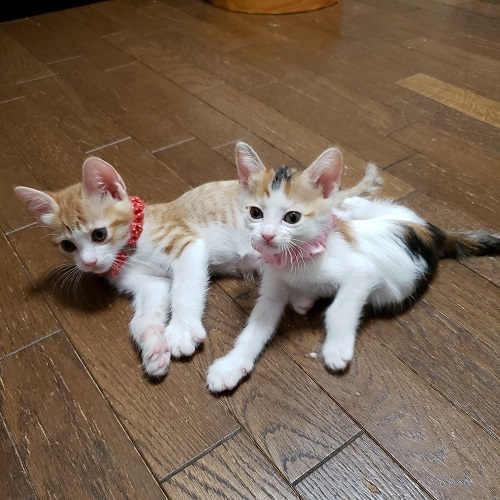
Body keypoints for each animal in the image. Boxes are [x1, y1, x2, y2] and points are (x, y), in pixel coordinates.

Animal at [15, 144, 379, 378]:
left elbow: (185, 291)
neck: (133, 245)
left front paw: (180, 332)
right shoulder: (148, 283)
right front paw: (154, 349)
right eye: (67, 246)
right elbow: (142, 319)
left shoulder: (188, 246)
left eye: (99, 234)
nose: (89, 264)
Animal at [206, 144, 500, 393]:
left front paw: (336, 350)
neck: (298, 256)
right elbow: (254, 329)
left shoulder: (363, 272)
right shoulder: (273, 287)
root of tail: (431, 230)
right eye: (255, 213)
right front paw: (231, 365)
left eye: (292, 217)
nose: (266, 236)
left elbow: (340, 308)